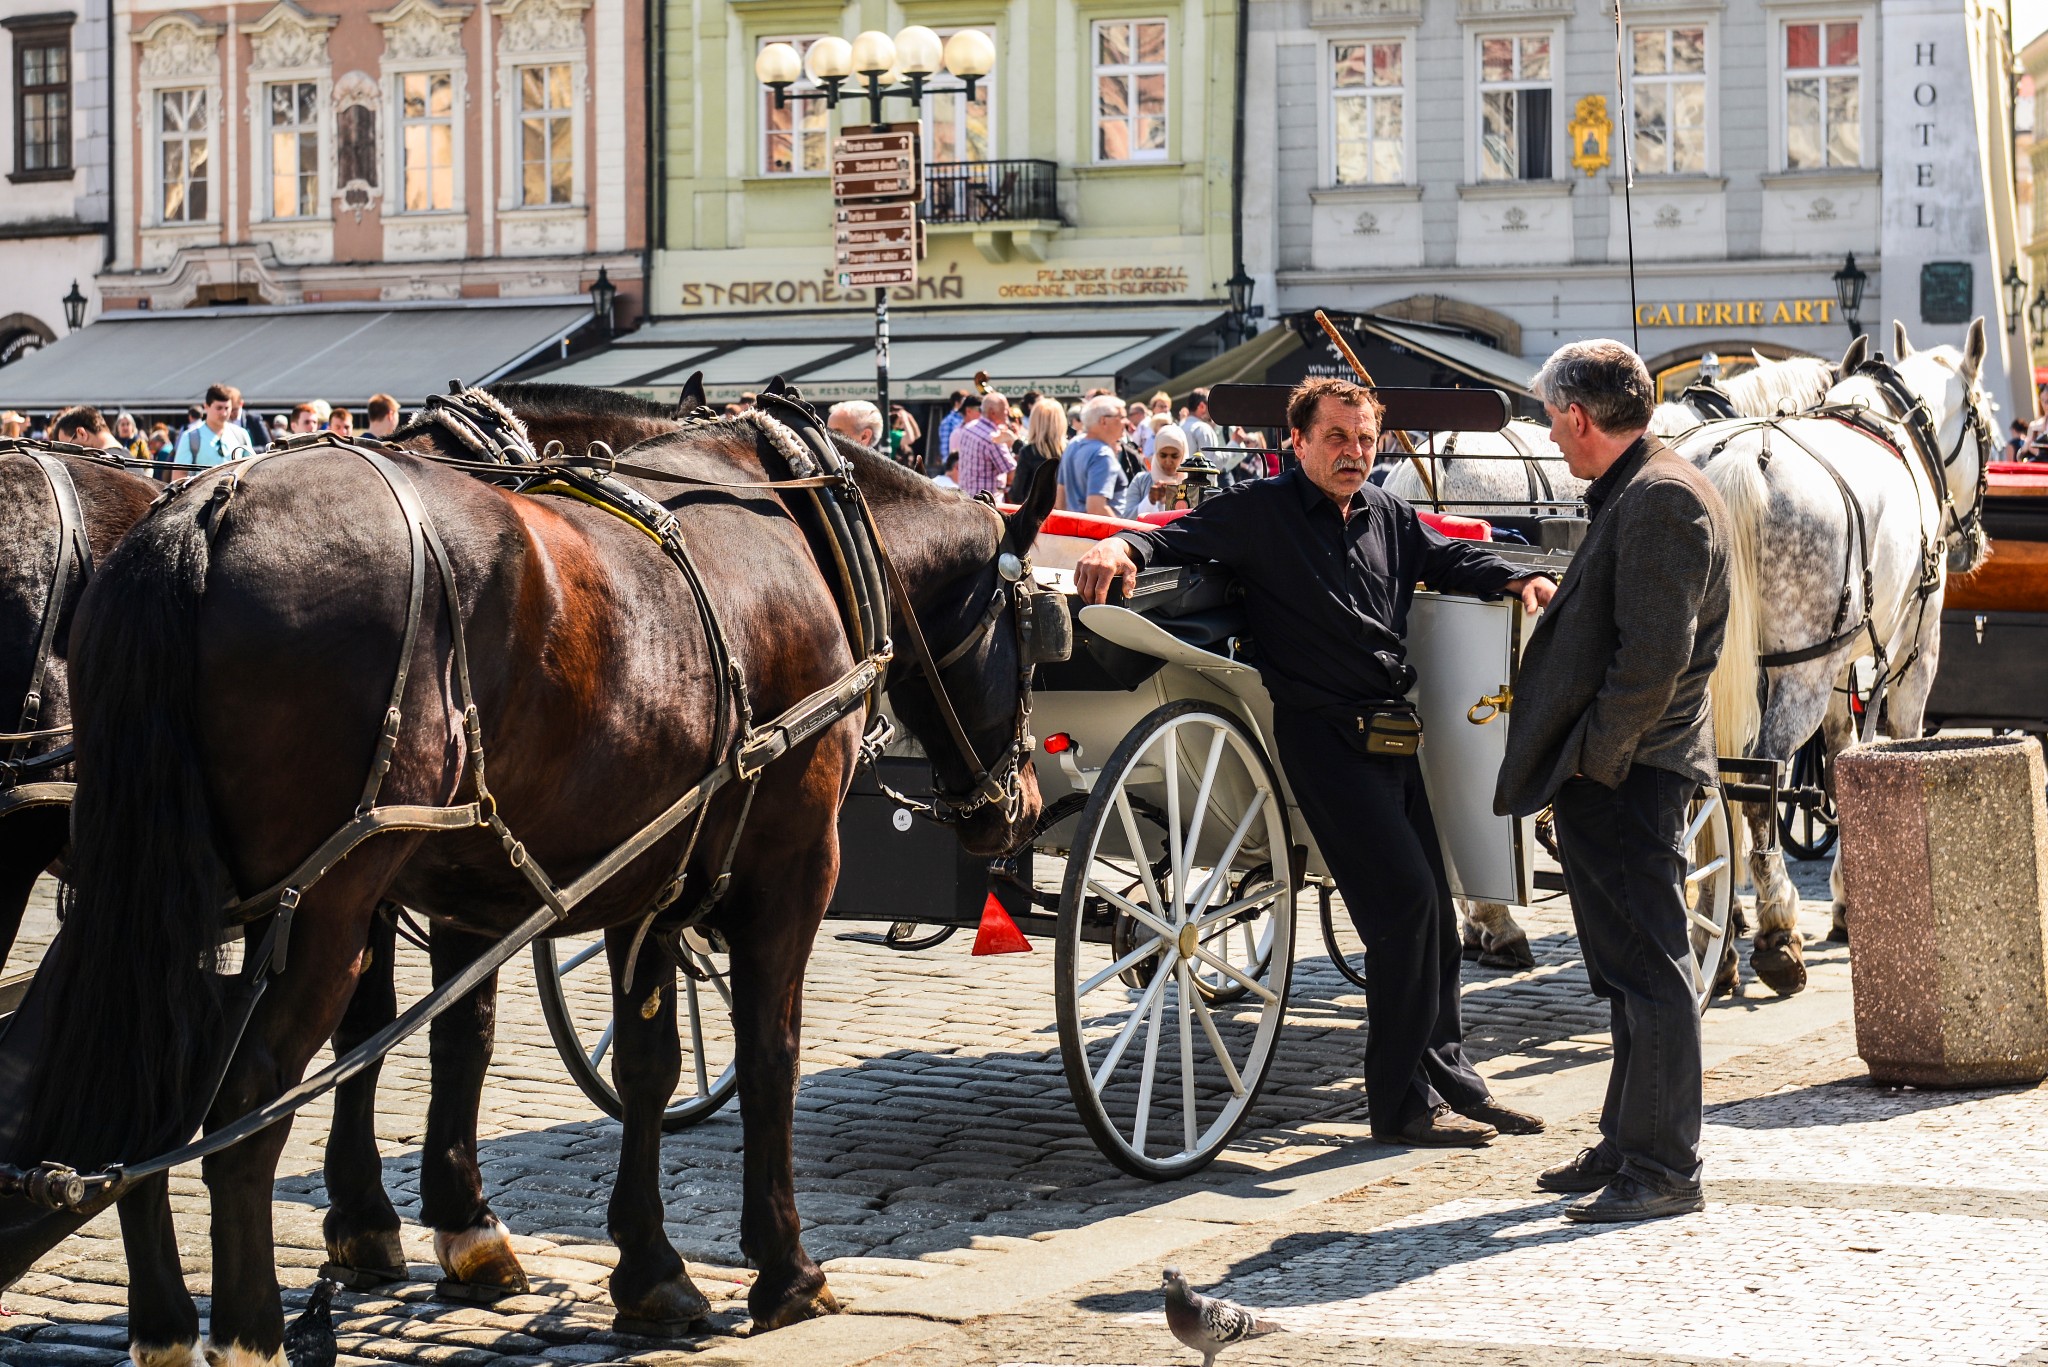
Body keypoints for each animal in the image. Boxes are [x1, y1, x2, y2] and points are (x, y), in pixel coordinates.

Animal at [0, 383, 1056, 1360]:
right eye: (1039, 632)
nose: (1020, 808)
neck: (793, 521)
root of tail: (205, 511)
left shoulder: (639, 881)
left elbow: (634, 1065)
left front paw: (644, 1268)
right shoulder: (788, 869)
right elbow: (768, 1056)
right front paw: (785, 1269)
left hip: (164, 895)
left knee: (144, 1066)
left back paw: (164, 1322)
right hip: (320, 905)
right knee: (245, 1112)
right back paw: (251, 1328)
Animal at [1671, 321, 1990, 996]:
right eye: (1986, 423)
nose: (1973, 543)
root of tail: (1737, 456)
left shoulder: (1845, 665)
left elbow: (1842, 756)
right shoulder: (1912, 652)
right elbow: (1888, 743)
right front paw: (1849, 898)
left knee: (1707, 782)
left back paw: (1719, 933)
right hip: (1802, 672)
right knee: (1756, 778)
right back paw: (1776, 928)